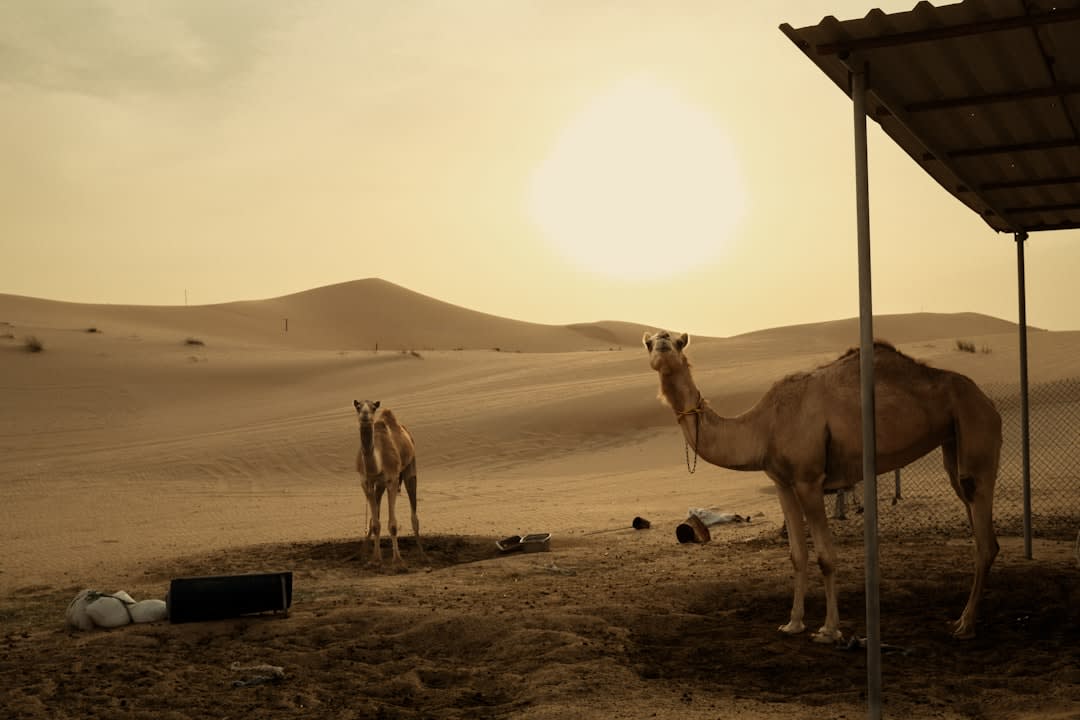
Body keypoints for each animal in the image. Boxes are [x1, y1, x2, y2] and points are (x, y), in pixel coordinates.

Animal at [353, 399, 425, 565]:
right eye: (358, 407)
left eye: (373, 407)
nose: (365, 414)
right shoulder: (365, 482)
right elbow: (375, 523)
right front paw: (375, 559)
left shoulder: (392, 479)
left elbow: (392, 525)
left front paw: (398, 560)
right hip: (379, 485)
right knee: (375, 516)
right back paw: (364, 552)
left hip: (410, 465)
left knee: (414, 515)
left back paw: (422, 554)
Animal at [643, 331, 1001, 641]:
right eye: (650, 342)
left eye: (677, 341)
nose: (661, 345)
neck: (764, 426)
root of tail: (989, 401)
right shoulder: (782, 483)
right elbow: (797, 555)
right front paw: (793, 623)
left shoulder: (809, 480)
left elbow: (825, 557)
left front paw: (829, 630)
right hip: (952, 444)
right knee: (978, 524)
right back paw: (960, 619)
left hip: (975, 427)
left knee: (983, 536)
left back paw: (966, 625)